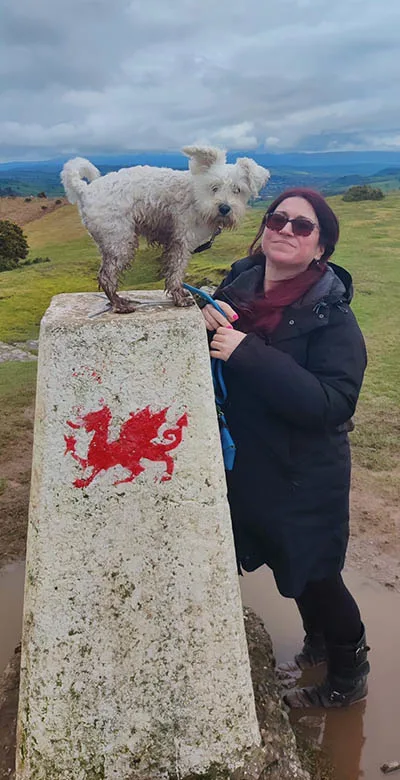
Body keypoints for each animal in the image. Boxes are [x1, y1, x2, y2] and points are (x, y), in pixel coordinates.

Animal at [61, 146, 270, 310]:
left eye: (237, 190)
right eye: (214, 187)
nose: (224, 208)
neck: (197, 196)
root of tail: (85, 190)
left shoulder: (176, 243)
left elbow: (172, 271)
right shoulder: (181, 242)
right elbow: (176, 272)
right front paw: (179, 298)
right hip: (120, 242)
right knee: (106, 276)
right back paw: (119, 304)